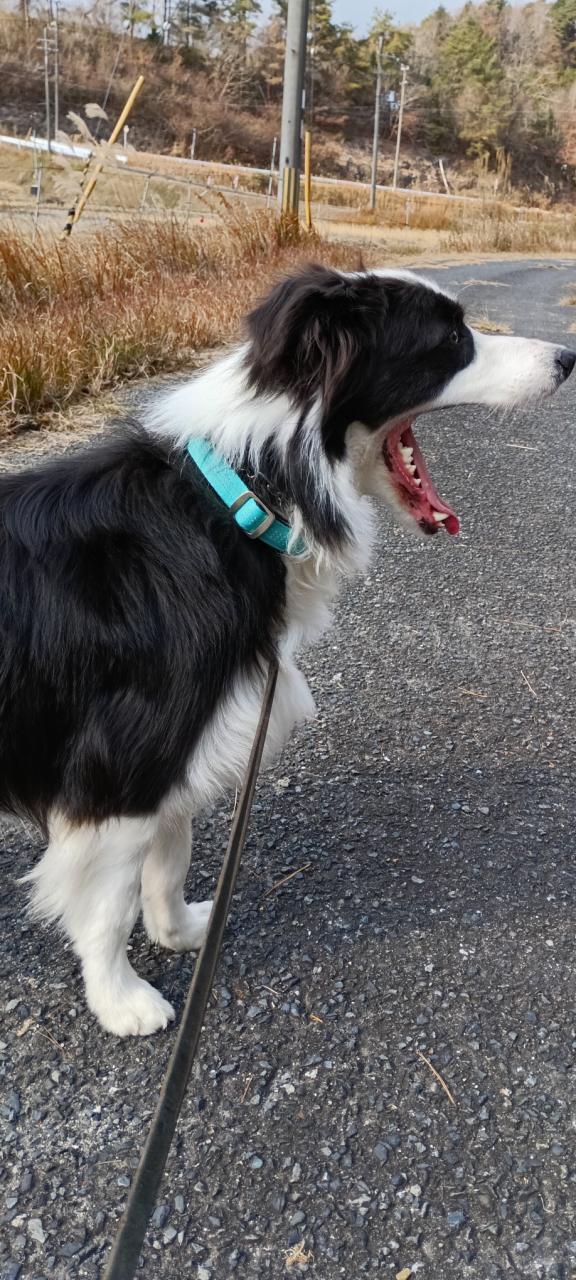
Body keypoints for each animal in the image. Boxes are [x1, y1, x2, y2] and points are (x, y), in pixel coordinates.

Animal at [1, 265, 573, 1035]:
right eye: (453, 338)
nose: (567, 359)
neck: (243, 498)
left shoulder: (191, 737)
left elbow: (169, 857)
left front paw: (183, 933)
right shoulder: (123, 761)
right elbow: (110, 898)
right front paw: (121, 1000)